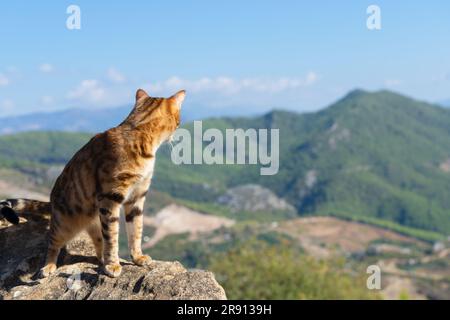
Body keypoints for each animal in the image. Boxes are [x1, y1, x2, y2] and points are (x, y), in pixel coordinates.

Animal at [0, 88, 185, 278]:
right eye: (179, 120)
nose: (177, 132)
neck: (140, 135)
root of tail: (51, 200)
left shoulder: (137, 197)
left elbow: (136, 230)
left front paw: (137, 257)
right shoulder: (110, 198)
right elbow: (112, 236)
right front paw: (113, 265)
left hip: (94, 218)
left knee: (98, 242)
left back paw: (101, 260)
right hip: (65, 223)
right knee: (53, 242)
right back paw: (48, 266)